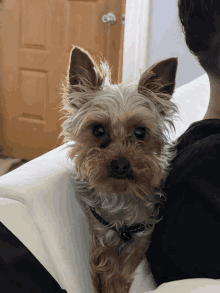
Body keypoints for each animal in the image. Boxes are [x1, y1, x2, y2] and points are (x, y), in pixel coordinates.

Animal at [58, 46, 179, 290]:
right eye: (98, 130)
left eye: (140, 132)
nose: (121, 164)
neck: (120, 196)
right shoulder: (100, 231)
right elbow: (107, 263)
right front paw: (108, 282)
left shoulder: (142, 236)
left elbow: (126, 268)